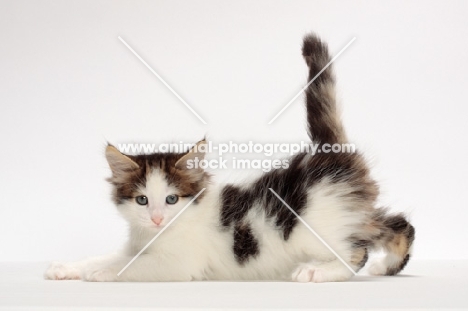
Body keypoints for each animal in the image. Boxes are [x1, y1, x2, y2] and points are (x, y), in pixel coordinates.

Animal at [45, 33, 414, 282]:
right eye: (141, 200)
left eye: (171, 199)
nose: (157, 219)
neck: (158, 234)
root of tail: (328, 155)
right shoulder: (134, 244)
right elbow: (101, 256)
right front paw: (66, 268)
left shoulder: (178, 264)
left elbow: (131, 265)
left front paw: (104, 273)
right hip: (351, 212)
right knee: (396, 224)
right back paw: (387, 266)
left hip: (316, 227)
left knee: (356, 250)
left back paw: (317, 272)